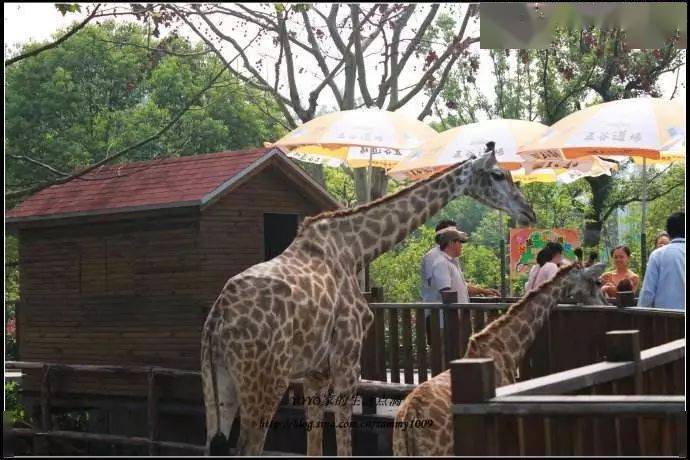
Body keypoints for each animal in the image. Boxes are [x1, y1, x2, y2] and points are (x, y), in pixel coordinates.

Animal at [202, 148, 536, 456]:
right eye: (498, 174)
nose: (528, 212)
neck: (356, 250)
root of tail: (217, 317)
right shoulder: (347, 359)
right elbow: (343, 439)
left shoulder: (315, 371)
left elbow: (315, 443)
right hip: (265, 380)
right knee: (248, 447)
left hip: (217, 382)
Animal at [390, 262, 604, 456]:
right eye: (596, 281)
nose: (604, 303)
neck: (508, 348)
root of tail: (410, 415)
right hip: (440, 451)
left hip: (400, 450)